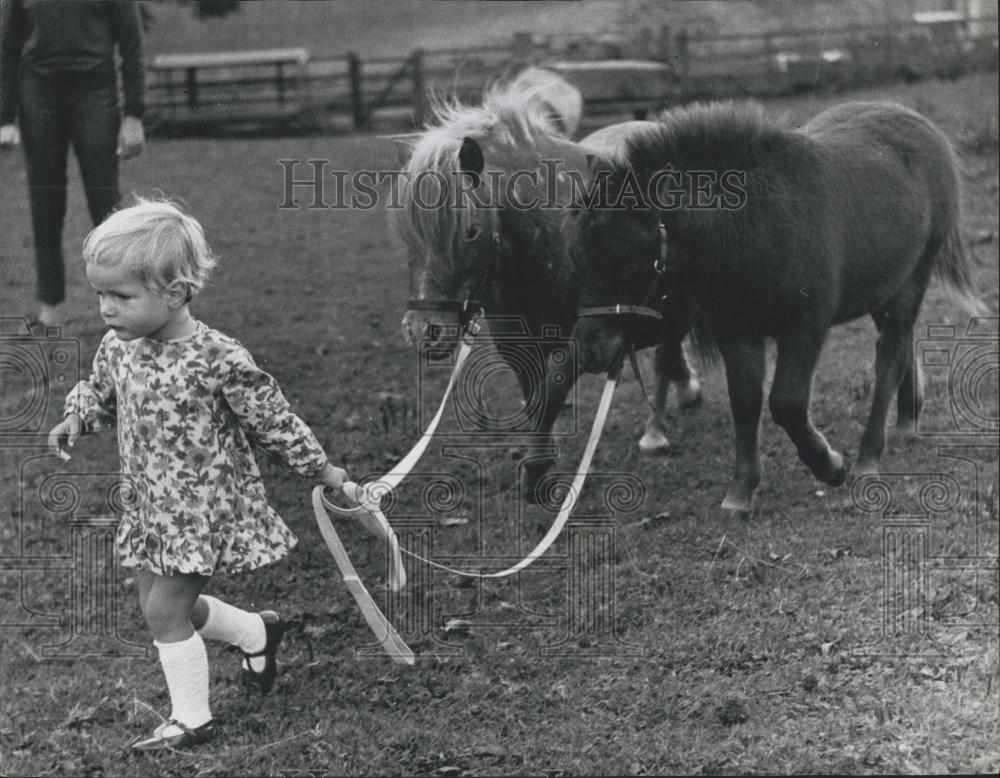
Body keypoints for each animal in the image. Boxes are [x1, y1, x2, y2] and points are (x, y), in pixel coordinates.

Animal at [390, 74, 704, 498]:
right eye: (408, 236)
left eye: (470, 231)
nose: (424, 332)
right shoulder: (514, 339)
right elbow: (533, 394)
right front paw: (542, 456)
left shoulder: (587, 336)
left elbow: (554, 384)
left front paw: (538, 465)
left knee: (666, 355)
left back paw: (656, 430)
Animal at [568, 100, 988, 512]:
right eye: (581, 257)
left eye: (628, 265)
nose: (589, 350)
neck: (752, 226)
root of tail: (921, 124)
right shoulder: (737, 332)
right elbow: (745, 400)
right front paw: (741, 491)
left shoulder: (805, 328)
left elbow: (786, 402)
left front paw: (830, 465)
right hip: (884, 286)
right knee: (901, 343)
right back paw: (906, 420)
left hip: (913, 279)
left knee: (889, 356)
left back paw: (869, 458)